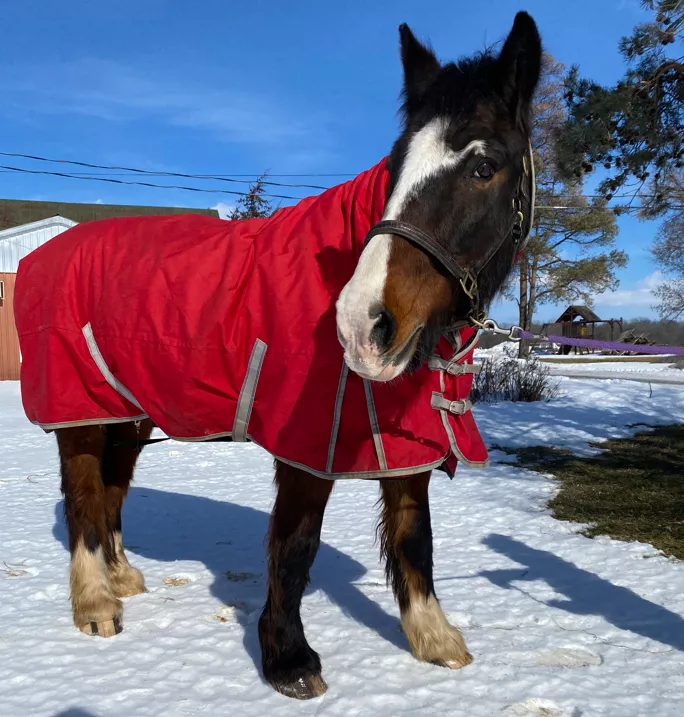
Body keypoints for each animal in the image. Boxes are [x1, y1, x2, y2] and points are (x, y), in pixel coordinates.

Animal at [14, 12, 540, 700]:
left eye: (484, 167)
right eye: (396, 165)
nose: (364, 322)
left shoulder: (402, 440)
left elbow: (414, 534)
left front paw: (433, 639)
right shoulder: (309, 444)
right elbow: (295, 545)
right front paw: (288, 658)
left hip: (129, 414)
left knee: (111, 489)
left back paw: (122, 576)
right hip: (79, 409)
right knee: (82, 496)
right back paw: (97, 603)